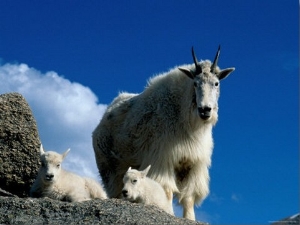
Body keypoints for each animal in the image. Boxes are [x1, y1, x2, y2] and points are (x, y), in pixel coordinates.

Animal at [92, 45, 236, 220]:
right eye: (195, 83)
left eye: (216, 83)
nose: (205, 110)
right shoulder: (163, 158)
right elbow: (166, 189)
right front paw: (168, 212)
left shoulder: (192, 162)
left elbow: (189, 196)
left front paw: (190, 219)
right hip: (109, 168)